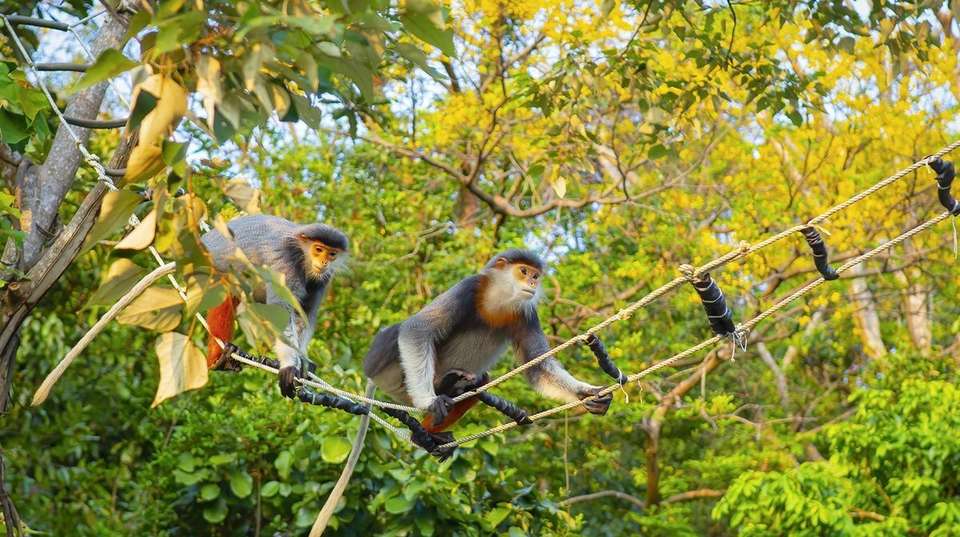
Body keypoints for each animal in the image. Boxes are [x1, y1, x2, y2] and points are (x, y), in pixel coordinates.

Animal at [201, 215, 348, 399]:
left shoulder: (323, 278)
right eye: (318, 249)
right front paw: (289, 366)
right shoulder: (285, 263)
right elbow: (281, 310)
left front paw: (302, 363)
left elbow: (304, 314)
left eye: (332, 253)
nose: (324, 262)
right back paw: (220, 356)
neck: (302, 254)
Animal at [363, 249, 612, 454]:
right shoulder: (469, 286)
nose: (532, 283)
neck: (497, 301)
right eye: (523, 271)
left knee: (477, 382)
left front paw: (587, 394)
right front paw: (429, 401)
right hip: (392, 377)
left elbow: (538, 367)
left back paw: (427, 430)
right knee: (397, 332)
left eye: (535, 276)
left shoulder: (526, 313)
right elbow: (417, 329)